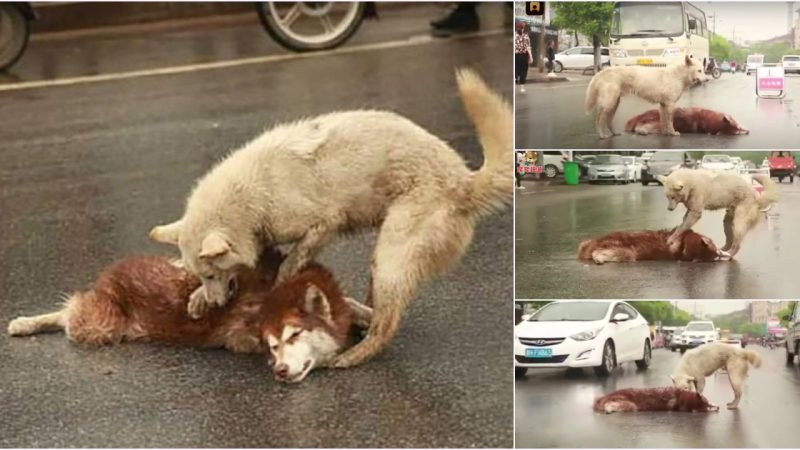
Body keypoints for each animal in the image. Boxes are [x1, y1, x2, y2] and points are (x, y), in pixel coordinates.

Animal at [148, 68, 512, 368]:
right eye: (202, 275)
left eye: (212, 273)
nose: (217, 304)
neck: (251, 195)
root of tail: (464, 181)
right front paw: (198, 298)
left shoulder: (323, 224)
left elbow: (291, 261)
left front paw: (278, 284)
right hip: (383, 257)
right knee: (378, 310)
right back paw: (358, 318)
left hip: (391, 254)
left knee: (387, 324)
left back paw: (353, 355)